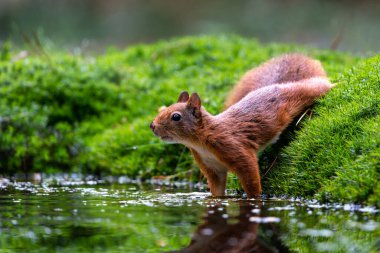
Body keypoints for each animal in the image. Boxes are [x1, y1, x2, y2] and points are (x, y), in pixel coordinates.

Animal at [150, 54, 332, 199]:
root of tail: (281, 84)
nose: (152, 126)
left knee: (316, 86)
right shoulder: (212, 168)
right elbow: (217, 190)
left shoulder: (234, 147)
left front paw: (255, 197)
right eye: (164, 109)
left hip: (302, 93)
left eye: (176, 116)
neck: (200, 143)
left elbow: (250, 175)